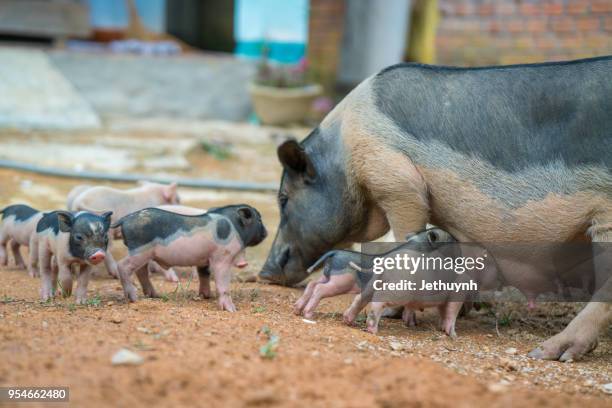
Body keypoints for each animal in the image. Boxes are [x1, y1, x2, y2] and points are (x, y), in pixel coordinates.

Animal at [113, 206, 266, 310]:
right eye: (259, 220)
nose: (266, 232)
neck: (235, 228)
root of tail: (125, 219)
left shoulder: (204, 260)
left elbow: (204, 275)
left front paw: (206, 296)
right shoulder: (222, 257)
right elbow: (223, 284)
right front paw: (232, 310)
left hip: (144, 254)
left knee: (141, 271)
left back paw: (154, 295)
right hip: (138, 250)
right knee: (122, 265)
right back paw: (133, 298)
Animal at [262, 55, 612, 362]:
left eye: (283, 197)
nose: (264, 272)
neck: (344, 151)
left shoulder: (396, 181)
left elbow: (405, 233)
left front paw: (398, 312)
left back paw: (547, 353)